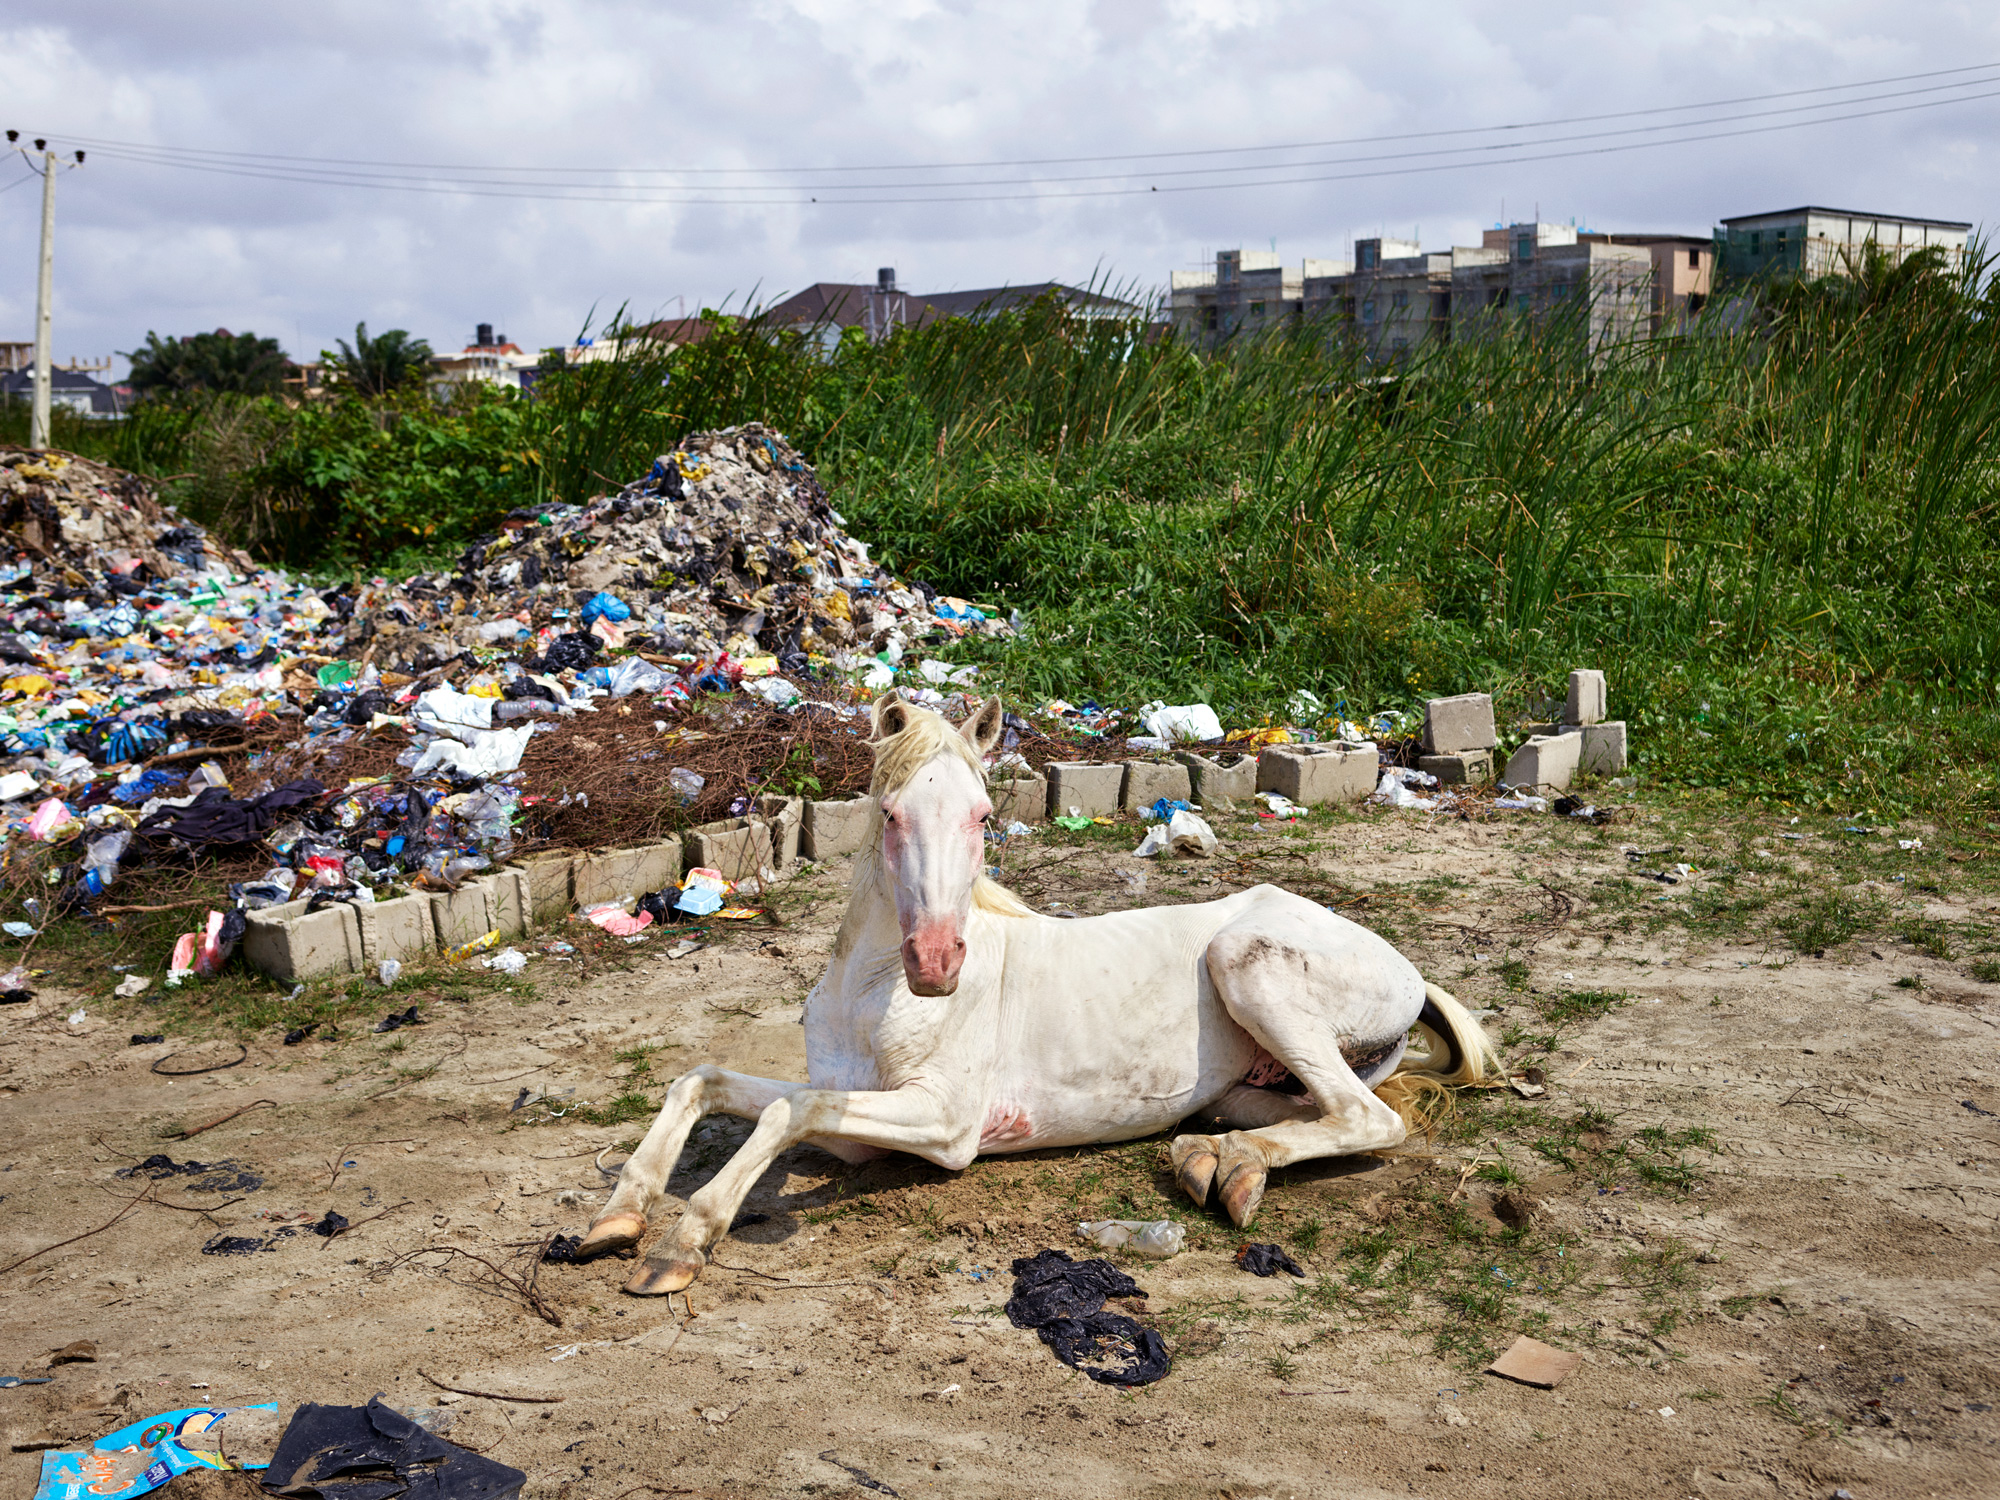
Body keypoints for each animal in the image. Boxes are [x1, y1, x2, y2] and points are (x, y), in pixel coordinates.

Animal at [572, 700, 1496, 1296]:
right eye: (891, 813)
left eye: (984, 815)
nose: (936, 962)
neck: (873, 994)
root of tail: (1410, 971)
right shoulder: (857, 1121)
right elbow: (705, 1083)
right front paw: (615, 1222)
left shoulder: (945, 1127)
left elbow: (781, 1113)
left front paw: (682, 1244)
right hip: (1244, 1082)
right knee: (1304, 1114)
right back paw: (1213, 1160)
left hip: (1247, 963)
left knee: (1372, 1120)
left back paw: (1231, 1171)